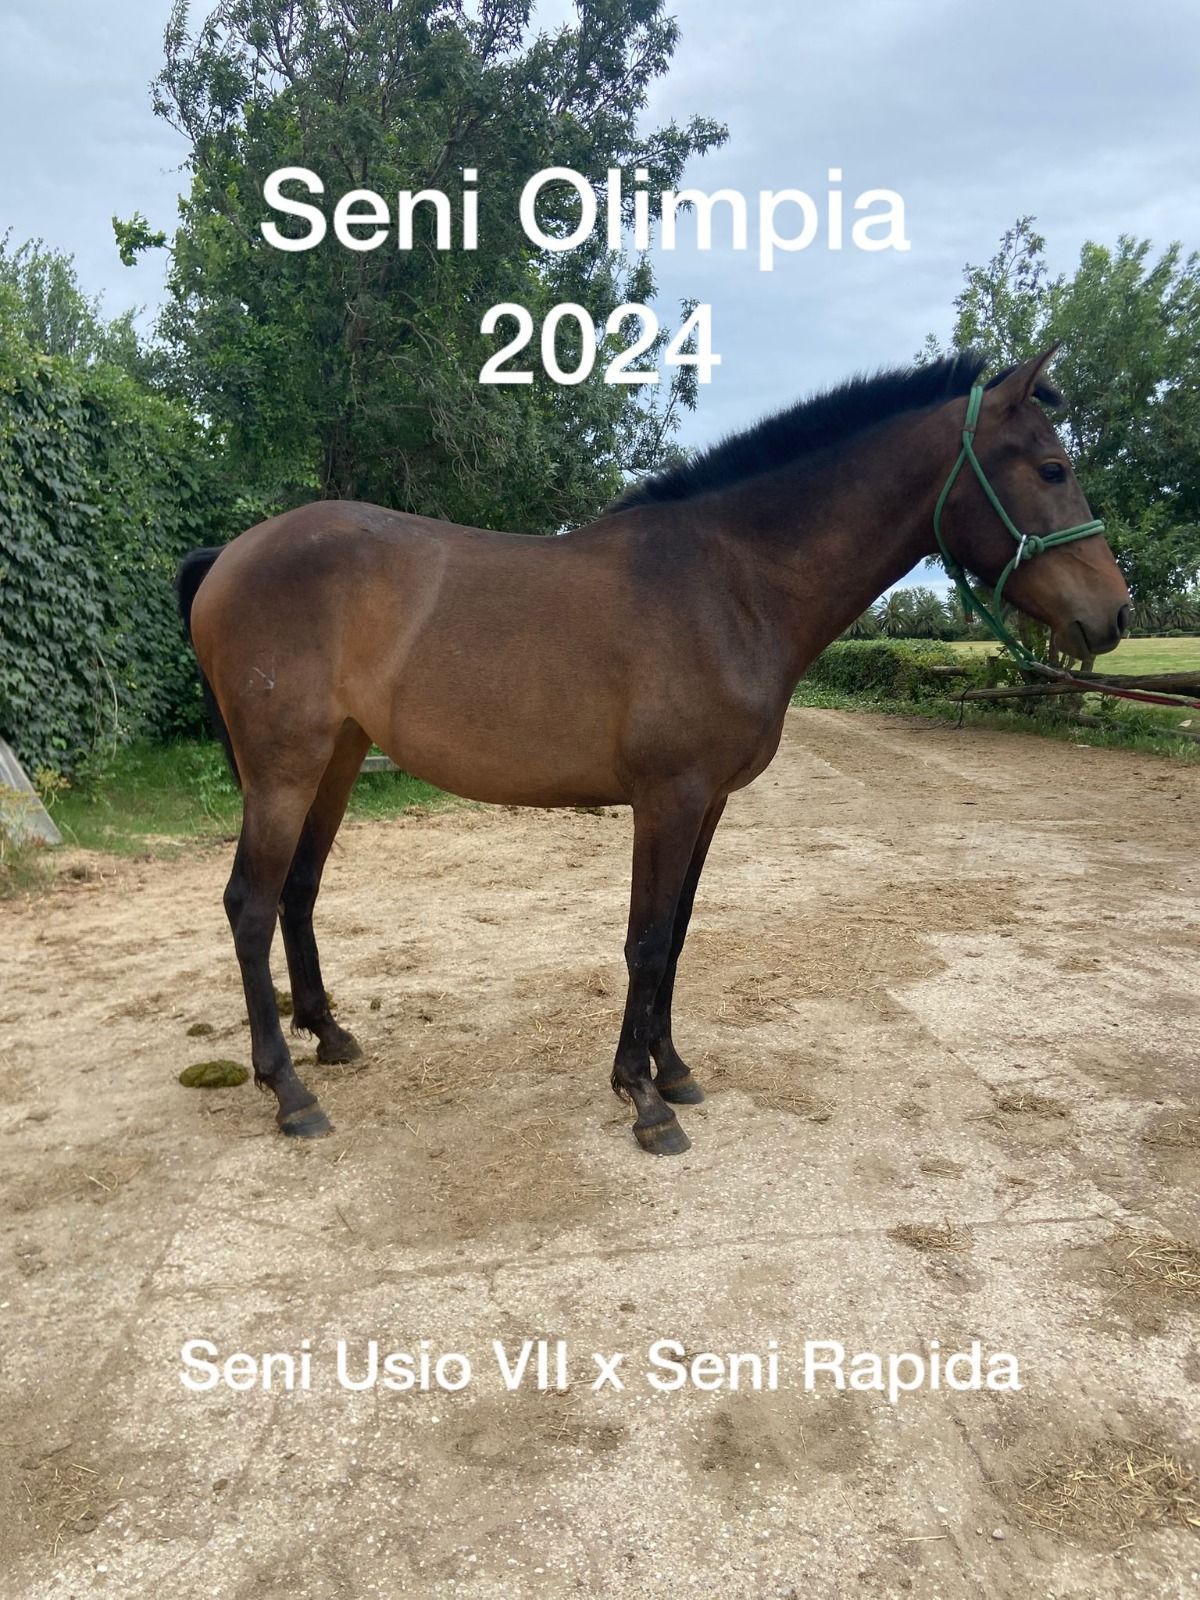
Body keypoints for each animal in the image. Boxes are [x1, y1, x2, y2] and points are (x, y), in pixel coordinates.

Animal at [178, 346, 1130, 1153]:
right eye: (1052, 469)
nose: (1114, 615)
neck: (728, 583)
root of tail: (229, 554)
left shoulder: (708, 801)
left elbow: (675, 934)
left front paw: (671, 1073)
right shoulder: (667, 797)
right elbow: (645, 939)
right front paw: (643, 1102)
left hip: (335, 761)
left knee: (299, 892)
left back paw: (331, 1036)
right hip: (283, 771)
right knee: (250, 906)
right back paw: (290, 1093)